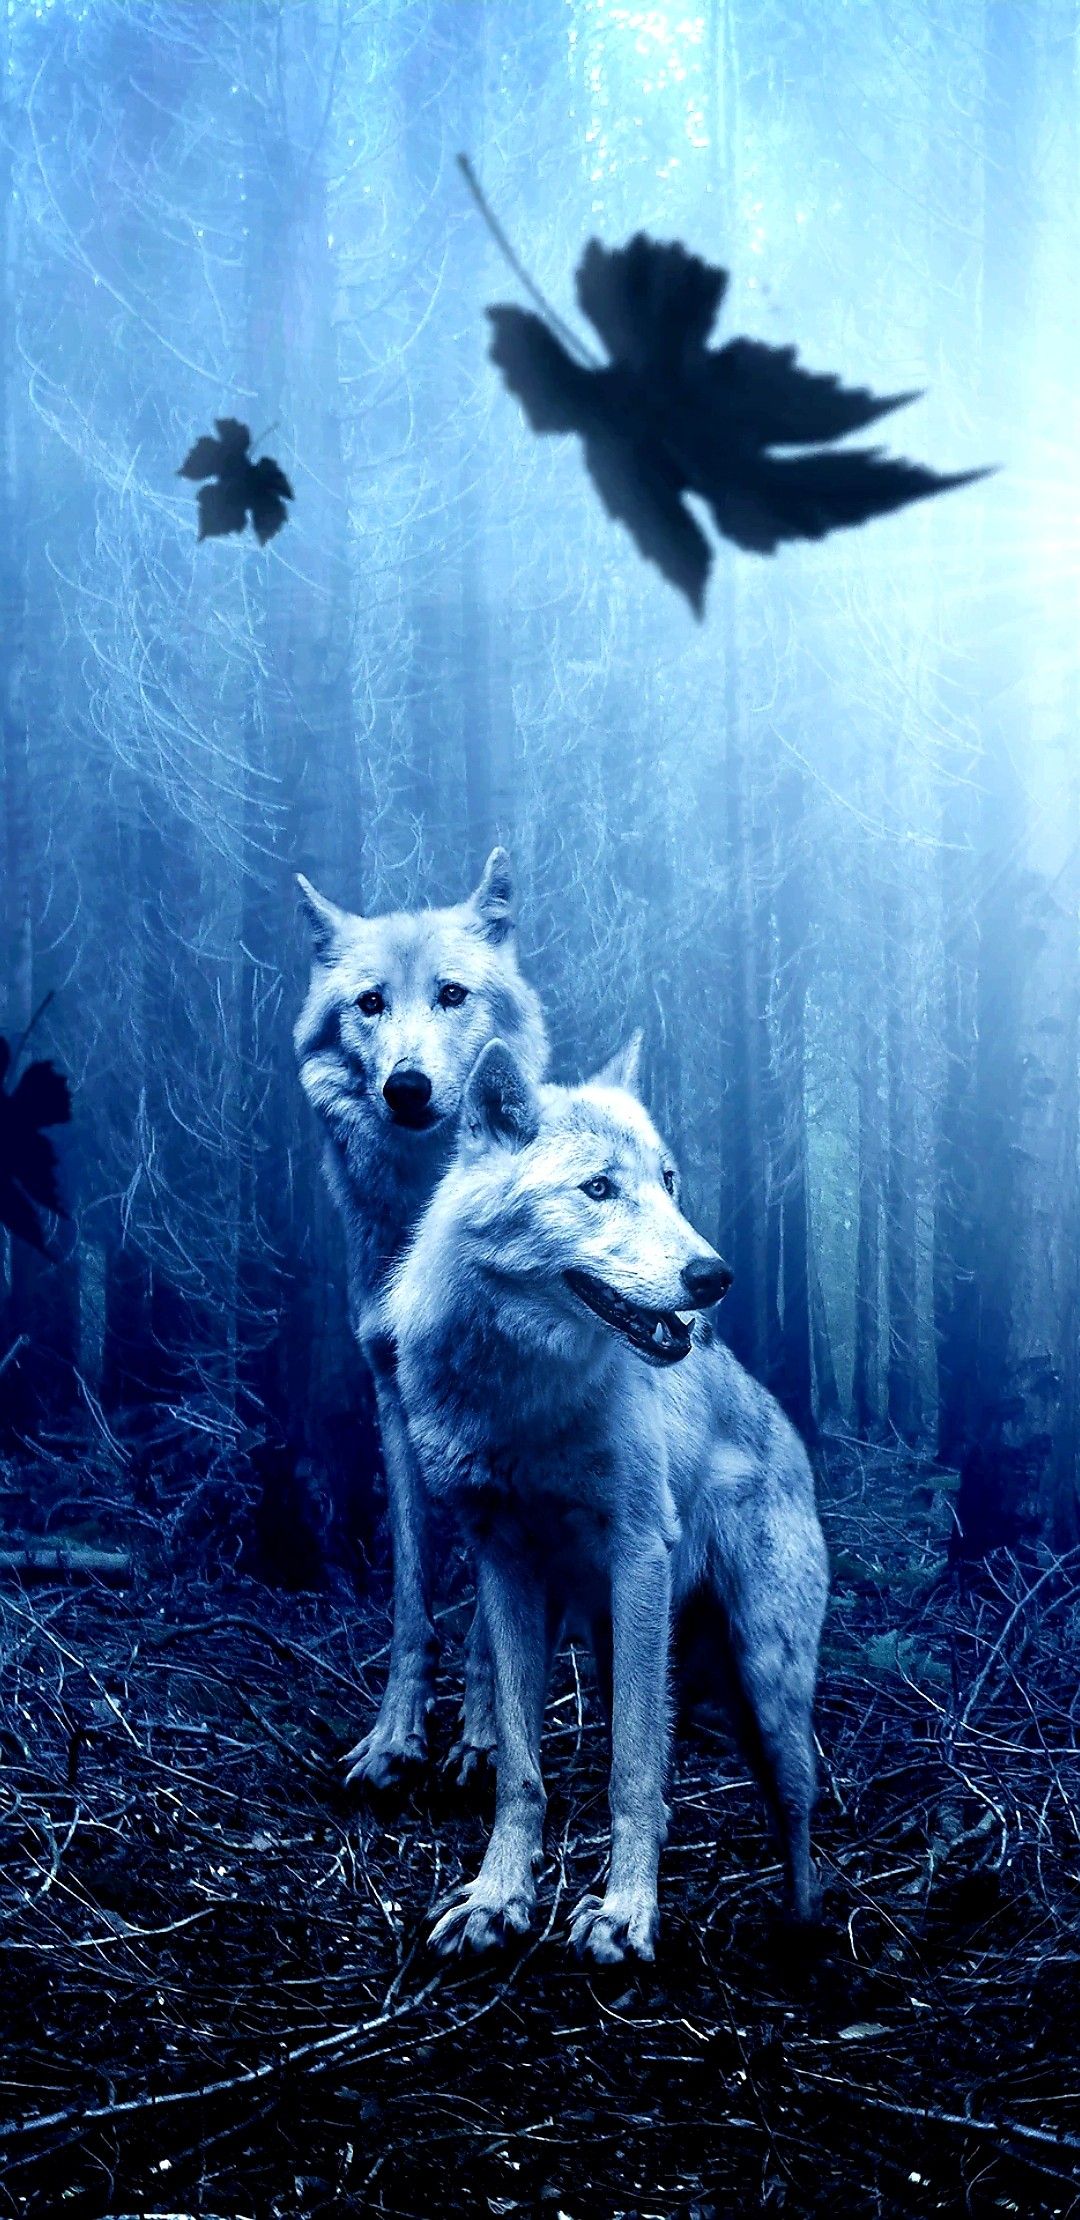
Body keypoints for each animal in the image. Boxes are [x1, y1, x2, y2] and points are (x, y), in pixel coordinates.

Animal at [294, 853, 548, 1789]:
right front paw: (394, 1737)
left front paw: (483, 1738)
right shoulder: (393, 1399)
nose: (407, 1087)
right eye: (370, 1002)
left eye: (451, 994)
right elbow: (412, 1594)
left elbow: (490, 1618)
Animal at [388, 1036, 829, 1962]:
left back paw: (802, 1932)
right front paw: (498, 1900)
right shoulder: (505, 1566)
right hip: (619, 1642)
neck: (524, 1402)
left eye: (668, 1182)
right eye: (598, 1188)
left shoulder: (637, 1556)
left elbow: (631, 1770)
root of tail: (786, 1428)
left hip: (764, 1676)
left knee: (797, 1804)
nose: (714, 1276)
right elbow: (520, 1770)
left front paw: (627, 1916)